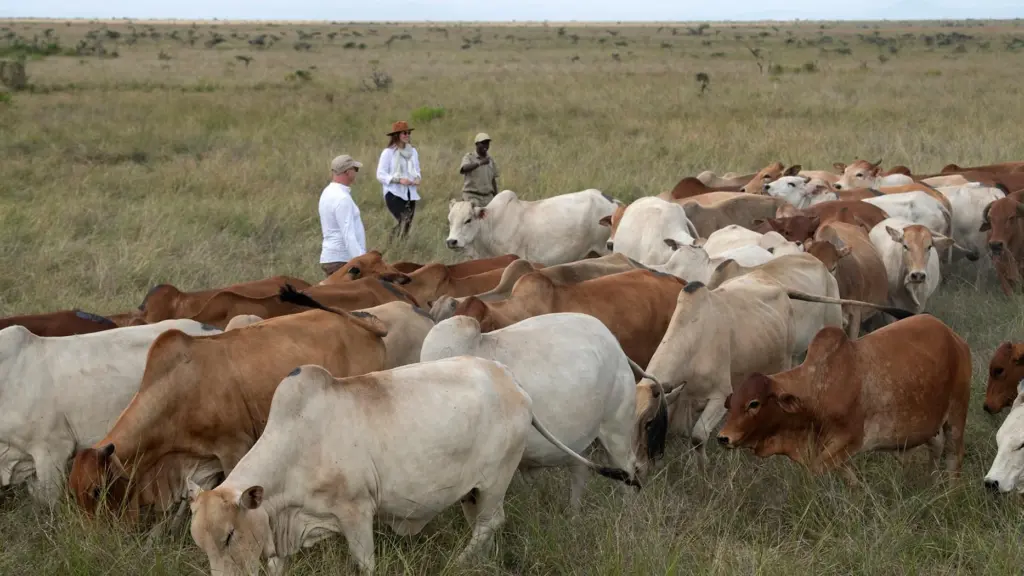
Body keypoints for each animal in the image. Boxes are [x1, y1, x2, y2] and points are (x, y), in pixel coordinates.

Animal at [187, 357, 636, 575]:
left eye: (229, 536)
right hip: (473, 491)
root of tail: (509, 379)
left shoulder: (356, 511)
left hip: (494, 481)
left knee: (491, 522)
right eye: (201, 543)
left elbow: (364, 563)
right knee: (487, 525)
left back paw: (460, 563)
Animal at [718, 314, 971, 482]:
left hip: (957, 415)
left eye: (754, 403)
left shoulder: (847, 441)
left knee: (954, 456)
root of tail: (955, 338)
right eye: (731, 404)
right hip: (930, 425)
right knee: (936, 449)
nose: (723, 437)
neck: (817, 389)